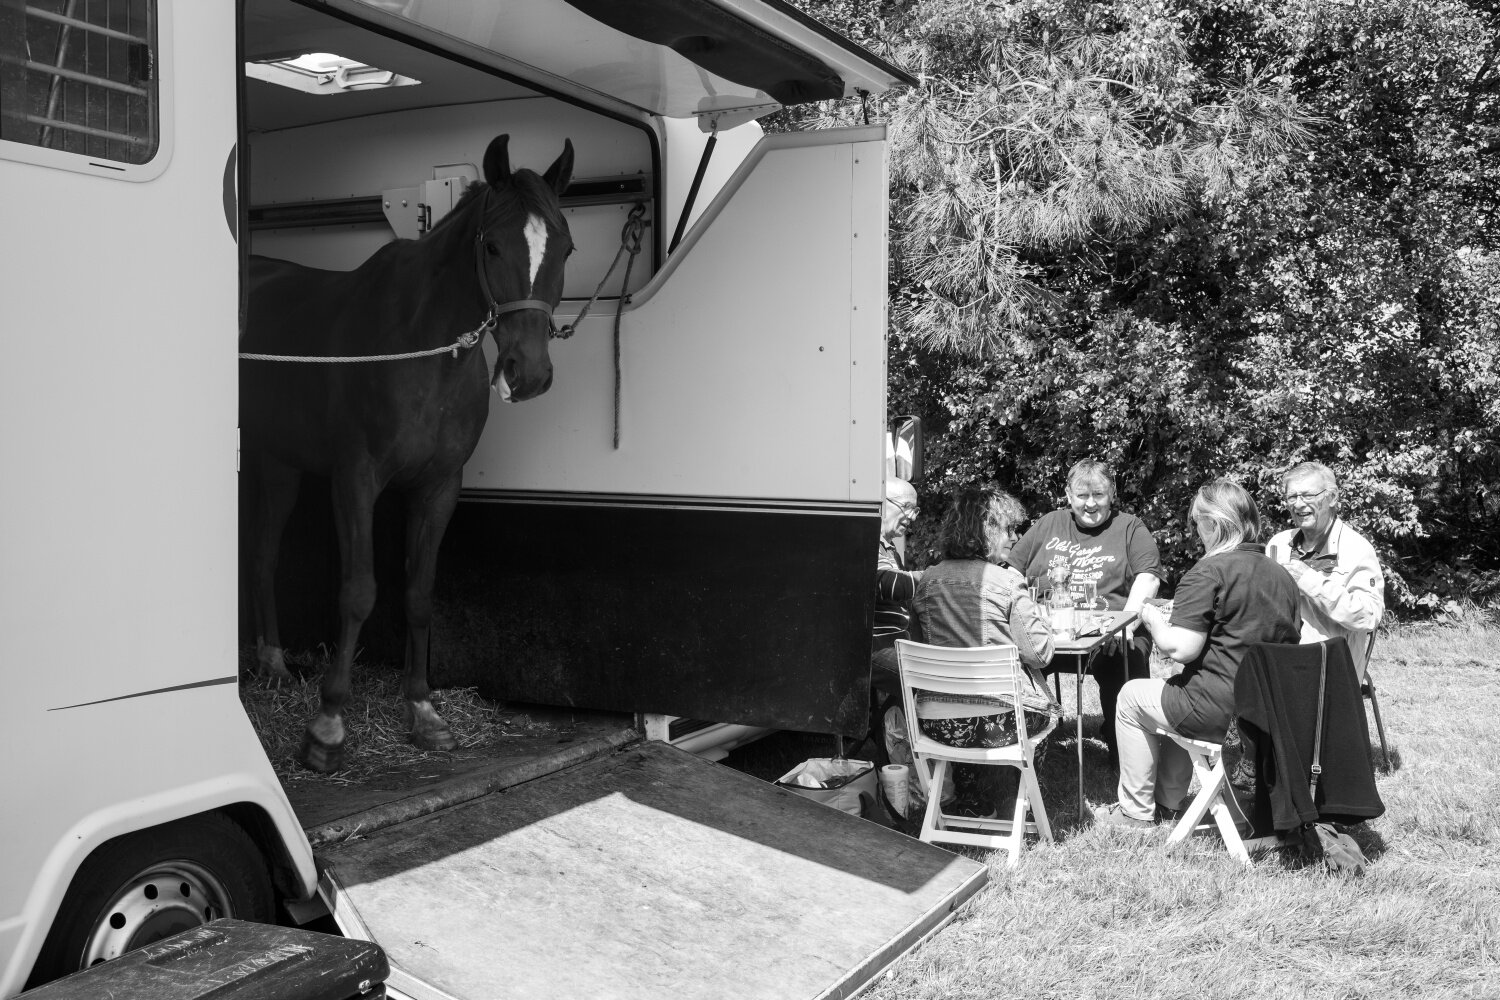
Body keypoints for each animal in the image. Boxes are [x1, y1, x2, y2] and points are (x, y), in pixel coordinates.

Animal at [243, 132, 576, 773]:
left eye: (567, 247)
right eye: (492, 245)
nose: (528, 373)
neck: (421, 349)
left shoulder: (440, 486)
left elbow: (420, 594)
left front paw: (423, 712)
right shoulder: (355, 480)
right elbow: (359, 592)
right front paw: (327, 728)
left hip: (280, 464)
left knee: (266, 553)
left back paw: (272, 662)